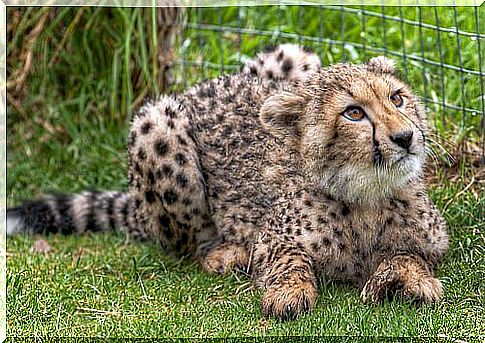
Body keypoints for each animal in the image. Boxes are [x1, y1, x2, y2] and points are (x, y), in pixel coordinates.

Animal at [7, 46, 448, 322]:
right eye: (354, 113)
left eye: (398, 98)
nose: (405, 137)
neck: (366, 196)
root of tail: (201, 85)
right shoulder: (272, 238)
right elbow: (288, 259)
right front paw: (288, 293)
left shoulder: (434, 239)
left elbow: (410, 254)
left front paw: (410, 279)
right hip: (156, 124)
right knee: (185, 243)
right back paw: (226, 254)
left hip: (294, 54)